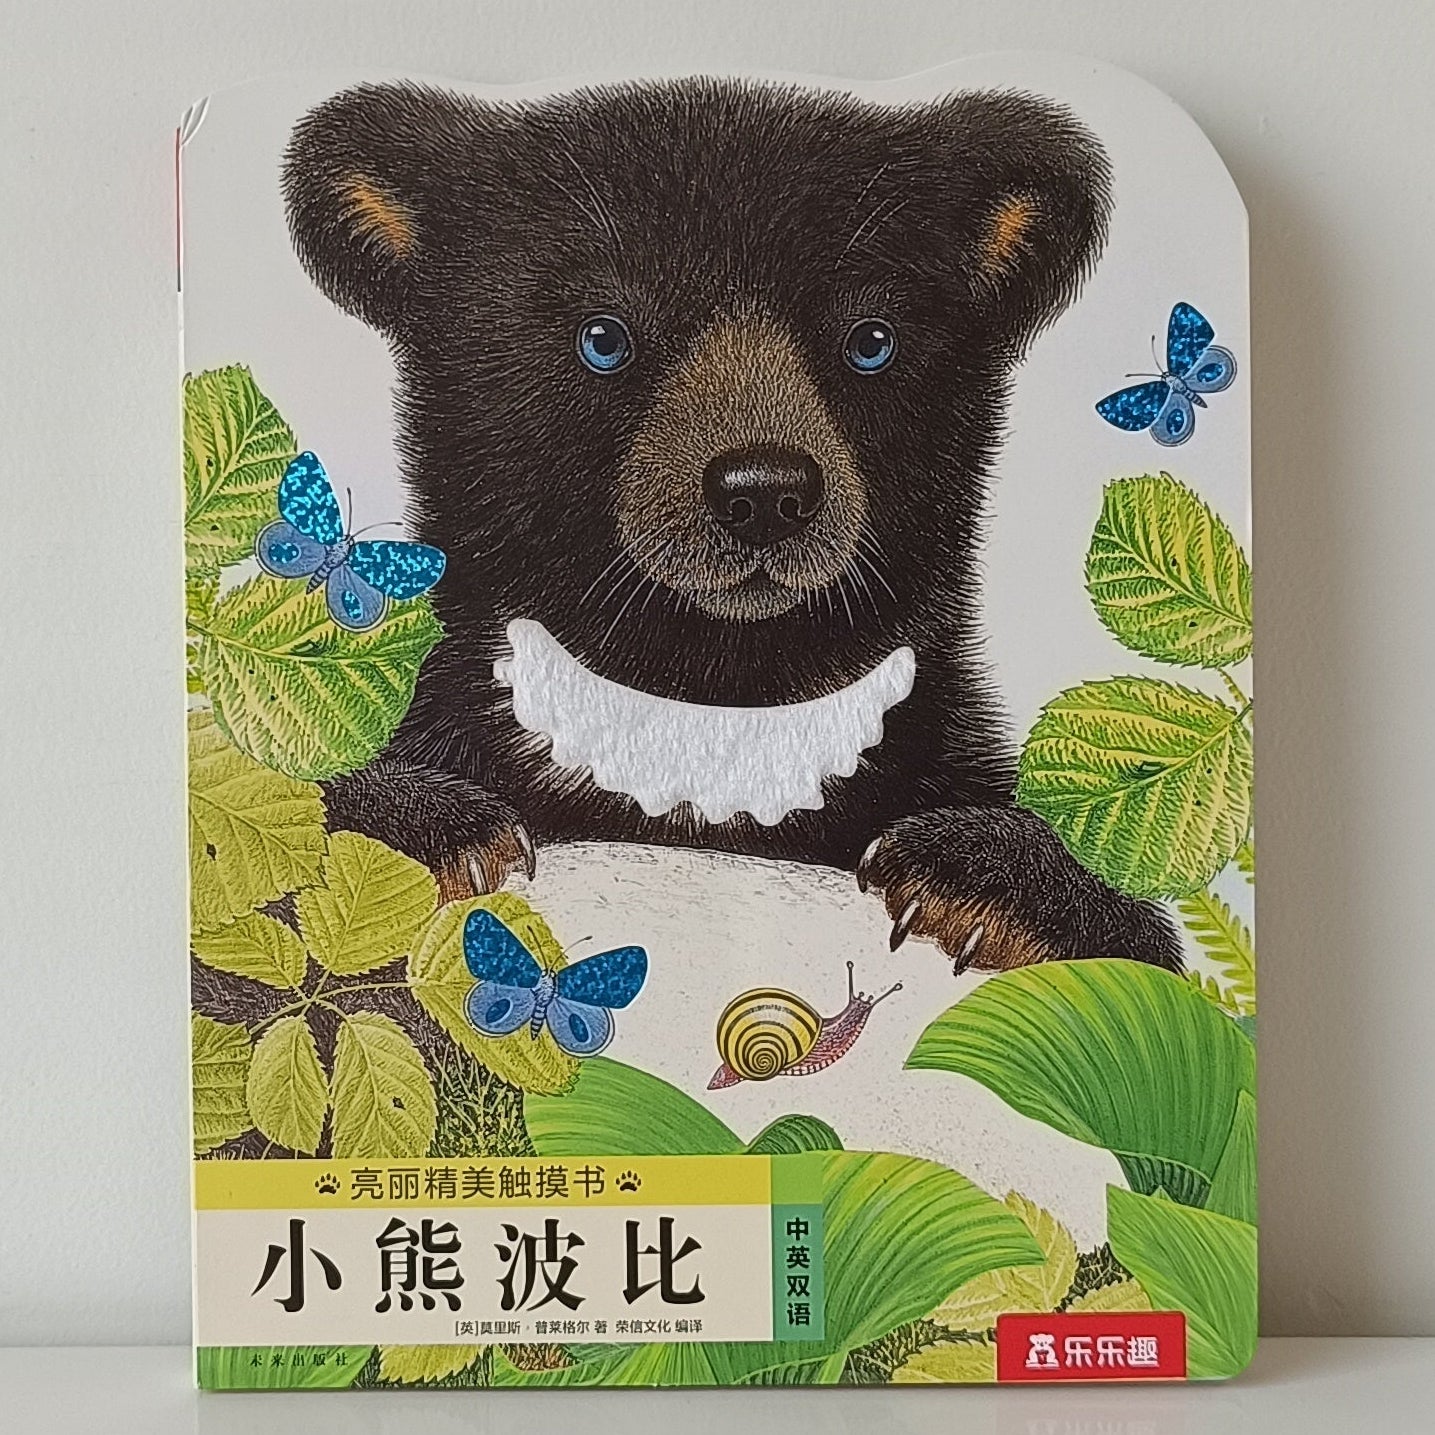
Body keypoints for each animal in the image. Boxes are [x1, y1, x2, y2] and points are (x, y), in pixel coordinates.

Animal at [280, 77, 1182, 974]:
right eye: (602, 336)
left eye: (870, 340)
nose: (764, 491)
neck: (712, 706)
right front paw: (433, 827)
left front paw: (987, 879)